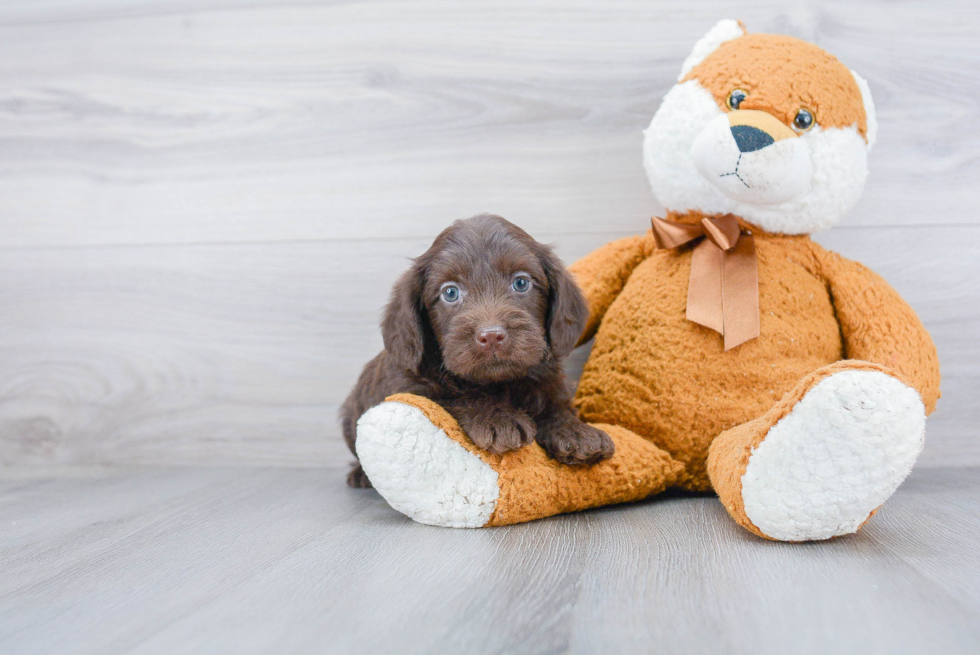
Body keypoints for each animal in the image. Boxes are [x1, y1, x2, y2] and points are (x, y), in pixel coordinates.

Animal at [342, 214, 612, 486]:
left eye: (521, 283)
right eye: (450, 292)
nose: (491, 336)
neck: (498, 383)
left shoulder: (550, 383)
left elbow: (556, 407)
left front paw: (576, 431)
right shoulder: (408, 388)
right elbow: (454, 398)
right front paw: (496, 417)